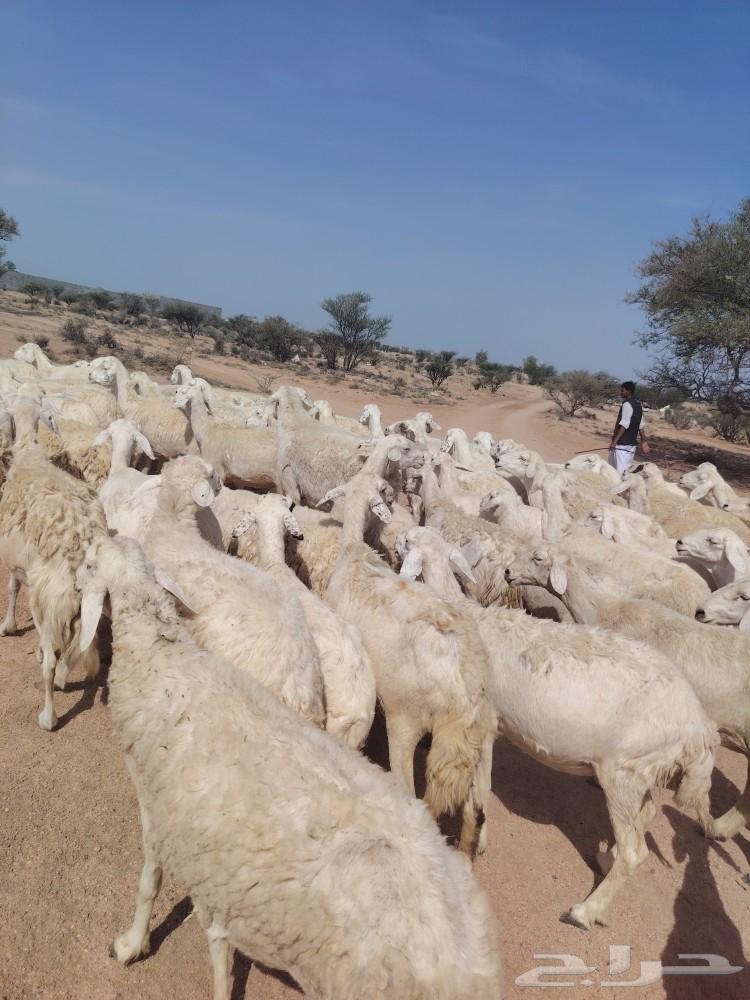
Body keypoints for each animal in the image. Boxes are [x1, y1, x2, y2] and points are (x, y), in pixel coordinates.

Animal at [76, 535, 502, 1000]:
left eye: (91, 563)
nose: (76, 583)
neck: (161, 657)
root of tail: (469, 969)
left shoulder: (158, 812)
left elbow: (148, 885)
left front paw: (131, 944)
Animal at [322, 470, 497, 857]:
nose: (395, 492)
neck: (354, 551)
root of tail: (463, 687)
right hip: (480, 738)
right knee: (476, 807)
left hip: (405, 719)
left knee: (410, 791)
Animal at [398, 525, 718, 928]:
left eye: (409, 541)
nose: (394, 540)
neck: (471, 617)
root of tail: (698, 728)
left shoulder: (482, 721)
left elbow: (480, 792)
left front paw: (474, 845)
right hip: (642, 771)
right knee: (646, 816)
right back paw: (605, 859)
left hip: (623, 772)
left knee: (635, 851)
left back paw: (585, 911)